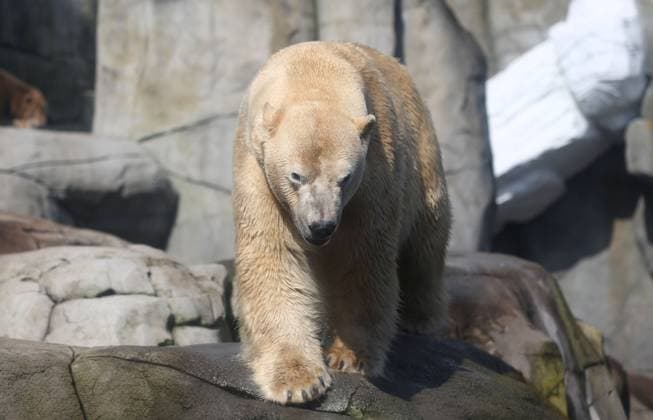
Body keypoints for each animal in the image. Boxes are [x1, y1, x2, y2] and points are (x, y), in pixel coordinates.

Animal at [232, 41, 451, 404]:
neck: (313, 71)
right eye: (296, 176)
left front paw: (349, 357)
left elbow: (360, 260)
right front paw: (298, 381)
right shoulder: (257, 167)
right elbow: (275, 257)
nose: (321, 226)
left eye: (344, 178)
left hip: (421, 150)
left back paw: (421, 318)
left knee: (426, 237)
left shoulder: (375, 167)